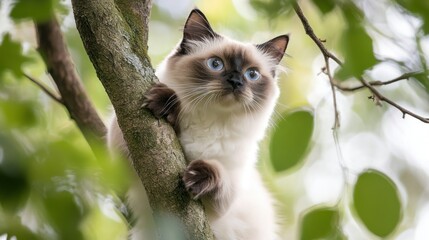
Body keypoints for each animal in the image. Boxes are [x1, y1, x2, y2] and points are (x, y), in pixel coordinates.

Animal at [107, 8, 290, 239]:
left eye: (252, 74)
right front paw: (166, 104)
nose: (236, 82)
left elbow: (218, 176)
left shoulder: (222, 203)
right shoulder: (121, 155)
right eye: (215, 64)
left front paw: (199, 175)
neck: (211, 121)